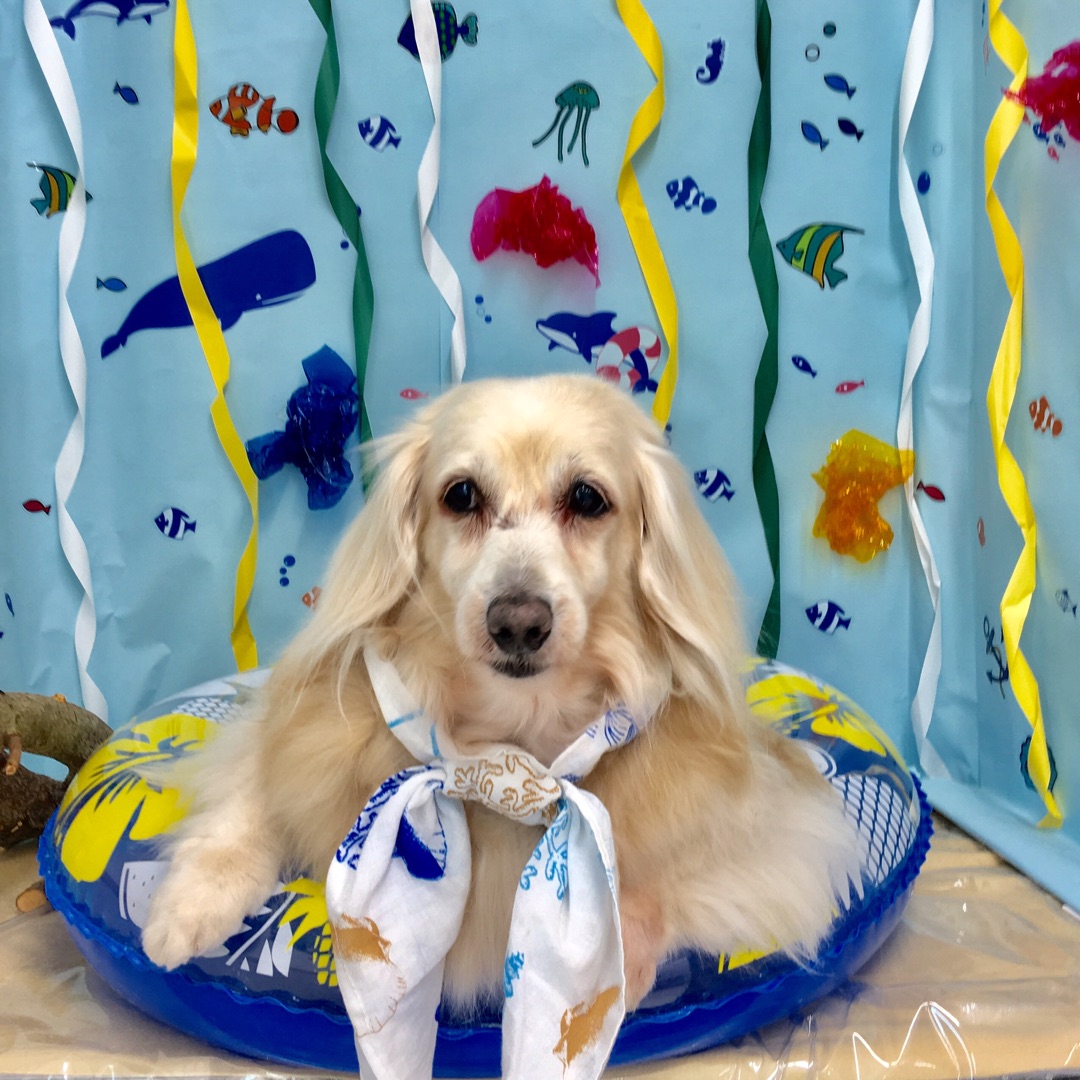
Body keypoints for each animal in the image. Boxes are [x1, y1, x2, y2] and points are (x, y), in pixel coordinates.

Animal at [142, 373, 860, 1012]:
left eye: (588, 498)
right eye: (461, 494)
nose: (518, 621)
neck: (509, 750)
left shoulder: (777, 840)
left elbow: (662, 877)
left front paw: (613, 954)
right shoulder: (291, 736)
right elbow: (252, 802)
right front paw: (190, 902)